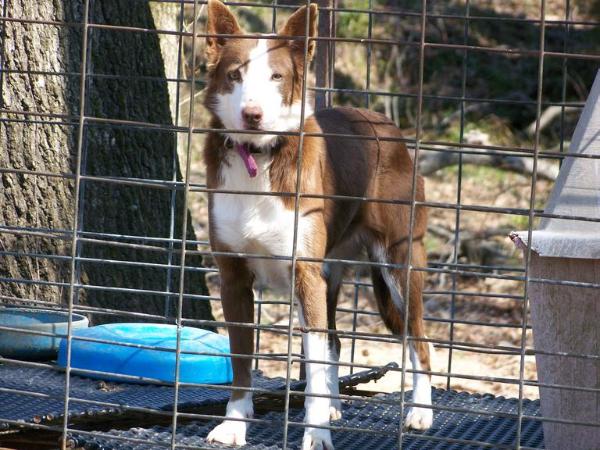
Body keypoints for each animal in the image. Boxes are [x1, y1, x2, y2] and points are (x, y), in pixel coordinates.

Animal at [202, 1, 432, 448]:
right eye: (235, 74)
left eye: (276, 76)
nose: (252, 115)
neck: (260, 159)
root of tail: (386, 123)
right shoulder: (233, 275)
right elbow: (242, 360)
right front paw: (235, 423)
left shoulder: (304, 271)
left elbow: (312, 361)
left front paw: (316, 433)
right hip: (330, 270)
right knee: (334, 342)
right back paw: (335, 405)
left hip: (399, 263)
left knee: (419, 338)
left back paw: (420, 412)